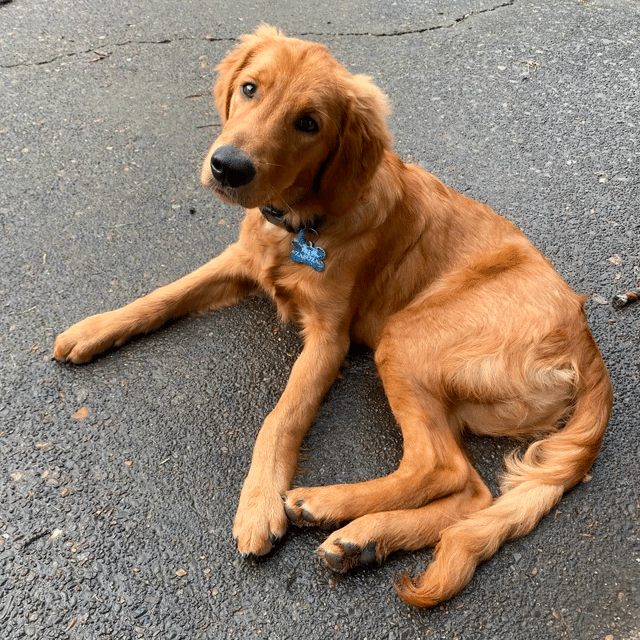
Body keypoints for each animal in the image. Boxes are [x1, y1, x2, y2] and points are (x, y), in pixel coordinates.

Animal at [52, 25, 612, 604]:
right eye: (249, 89)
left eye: (308, 123)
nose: (227, 167)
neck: (299, 221)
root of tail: (584, 339)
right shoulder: (240, 259)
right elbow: (165, 293)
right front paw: (94, 328)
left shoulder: (330, 337)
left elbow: (281, 415)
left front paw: (259, 503)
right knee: (473, 493)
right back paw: (364, 539)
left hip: (403, 338)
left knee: (438, 467)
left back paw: (327, 505)